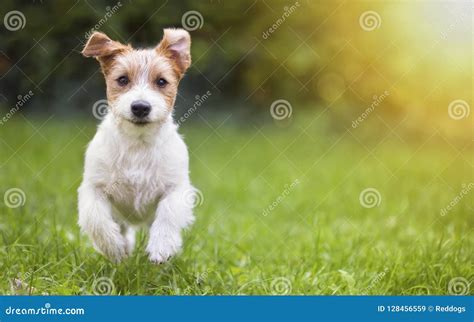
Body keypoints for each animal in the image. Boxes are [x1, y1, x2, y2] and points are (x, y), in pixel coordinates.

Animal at [77, 28, 194, 262]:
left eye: (161, 82)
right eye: (122, 79)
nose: (140, 107)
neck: (138, 143)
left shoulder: (176, 188)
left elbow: (168, 213)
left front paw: (162, 246)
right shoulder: (93, 188)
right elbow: (97, 220)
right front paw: (114, 248)